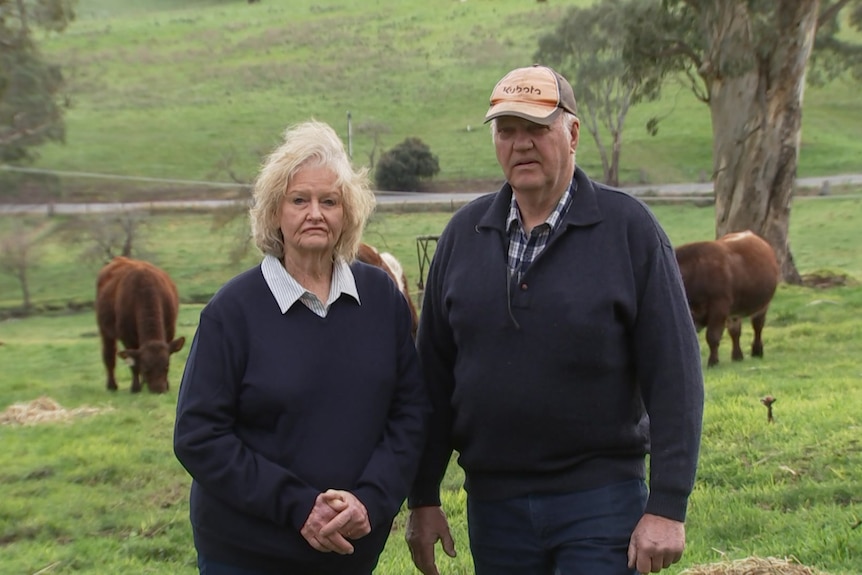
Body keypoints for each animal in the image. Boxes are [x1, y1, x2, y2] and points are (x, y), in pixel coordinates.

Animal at [96, 258, 186, 394]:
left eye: (166, 366)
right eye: (146, 369)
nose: (159, 389)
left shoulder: (170, 330)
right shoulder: (127, 336)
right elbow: (134, 365)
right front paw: (135, 387)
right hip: (104, 330)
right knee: (109, 355)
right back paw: (112, 385)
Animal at [676, 232, 784, 366]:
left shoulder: (719, 307)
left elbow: (712, 336)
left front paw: (713, 362)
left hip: (763, 305)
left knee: (757, 326)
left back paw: (757, 351)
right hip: (735, 312)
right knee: (735, 331)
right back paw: (737, 356)